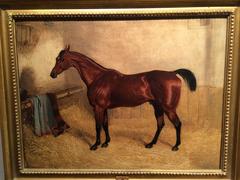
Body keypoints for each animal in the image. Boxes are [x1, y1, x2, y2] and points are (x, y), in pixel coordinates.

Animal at [49, 45, 196, 150]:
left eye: (62, 59)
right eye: (56, 58)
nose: (52, 74)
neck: (97, 78)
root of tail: (172, 73)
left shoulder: (98, 108)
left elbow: (98, 126)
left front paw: (95, 145)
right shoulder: (104, 108)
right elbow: (105, 124)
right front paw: (106, 142)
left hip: (168, 108)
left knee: (177, 124)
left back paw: (176, 146)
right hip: (157, 106)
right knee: (160, 124)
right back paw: (151, 143)